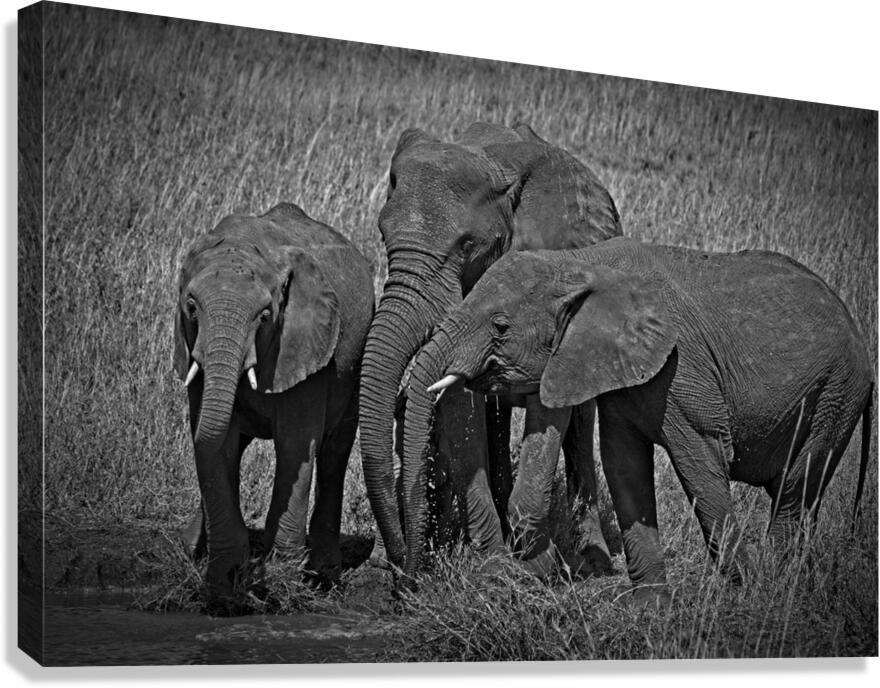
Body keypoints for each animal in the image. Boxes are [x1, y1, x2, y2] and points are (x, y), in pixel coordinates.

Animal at [173, 202, 374, 612]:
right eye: (191, 308)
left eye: (265, 317)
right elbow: (217, 445)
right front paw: (223, 589)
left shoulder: (306, 346)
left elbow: (295, 445)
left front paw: (281, 589)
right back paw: (191, 549)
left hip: (353, 362)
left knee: (333, 453)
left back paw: (323, 574)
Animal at [359, 121, 623, 577]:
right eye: (383, 235)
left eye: (467, 245)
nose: (403, 566)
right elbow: (458, 405)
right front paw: (495, 567)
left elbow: (547, 410)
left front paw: (538, 567)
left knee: (580, 421)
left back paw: (592, 560)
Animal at [411, 237, 873, 603]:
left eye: (501, 326)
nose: (412, 578)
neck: (582, 261)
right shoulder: (596, 360)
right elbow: (623, 465)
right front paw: (649, 608)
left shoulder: (682, 367)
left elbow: (700, 465)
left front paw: (741, 593)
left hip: (837, 391)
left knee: (796, 487)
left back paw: (775, 587)